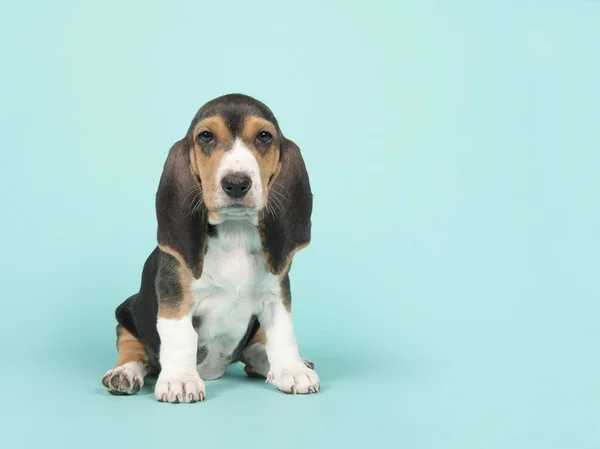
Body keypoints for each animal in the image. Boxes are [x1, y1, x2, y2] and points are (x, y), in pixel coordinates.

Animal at [102, 94, 318, 402]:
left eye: (264, 136)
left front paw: (292, 369)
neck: (234, 233)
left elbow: (282, 333)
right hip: (127, 311)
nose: (237, 183)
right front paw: (180, 380)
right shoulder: (175, 298)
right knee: (132, 348)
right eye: (205, 136)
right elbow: (180, 338)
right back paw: (124, 374)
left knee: (255, 352)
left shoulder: (276, 294)